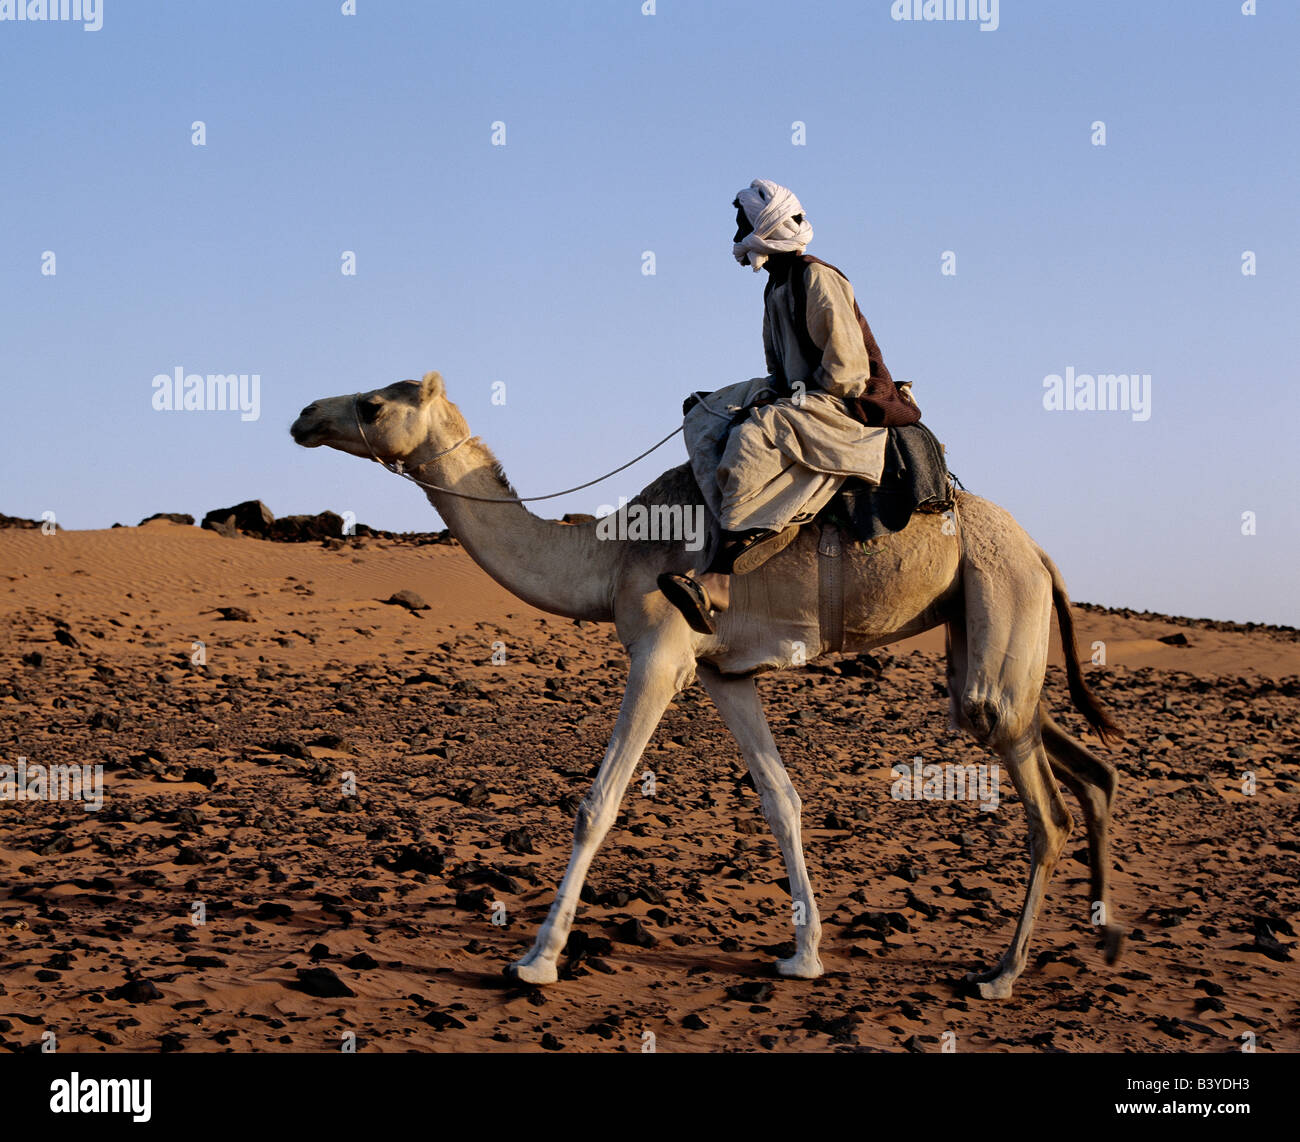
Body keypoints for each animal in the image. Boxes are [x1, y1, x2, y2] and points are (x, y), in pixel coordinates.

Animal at [290, 371, 1125, 999]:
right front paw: (803, 956)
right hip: (983, 641)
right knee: (1082, 762)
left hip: (997, 610)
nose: (303, 414)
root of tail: (1043, 553)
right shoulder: (725, 672)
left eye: (373, 404)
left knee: (1045, 810)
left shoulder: (660, 651)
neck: (610, 557)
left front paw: (536, 960)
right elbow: (781, 799)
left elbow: (600, 802)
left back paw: (1001, 973)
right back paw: (1105, 932)